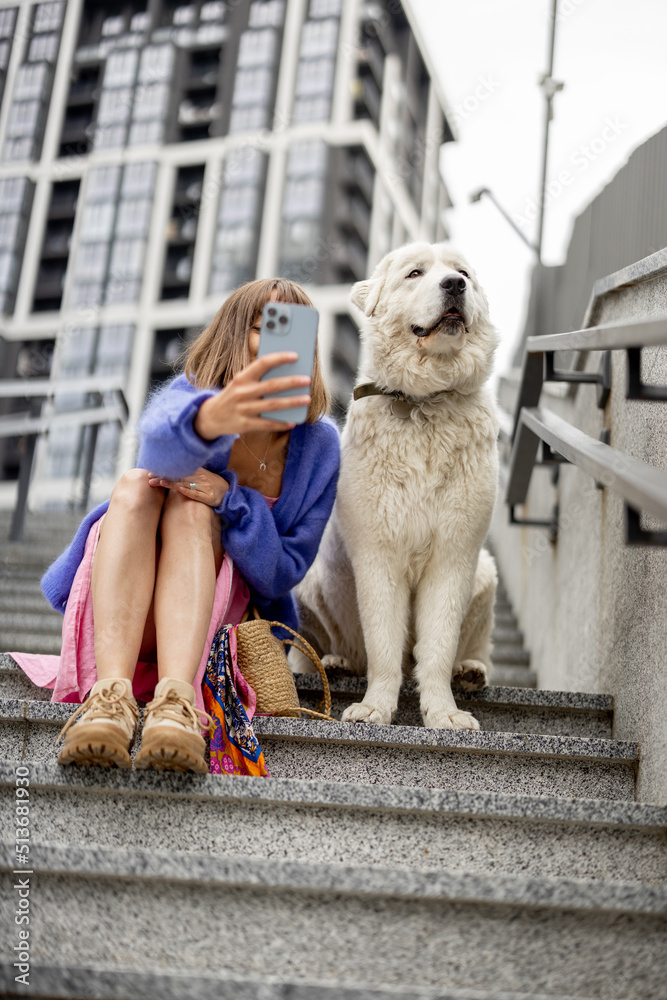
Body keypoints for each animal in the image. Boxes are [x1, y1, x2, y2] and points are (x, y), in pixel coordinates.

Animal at [294, 242, 498, 728]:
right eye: (415, 273)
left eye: (462, 273)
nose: (454, 285)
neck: (425, 403)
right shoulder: (378, 552)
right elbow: (383, 644)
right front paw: (375, 708)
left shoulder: (455, 553)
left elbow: (438, 645)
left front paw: (444, 714)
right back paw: (336, 662)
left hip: (485, 573)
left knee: (474, 648)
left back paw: (470, 672)